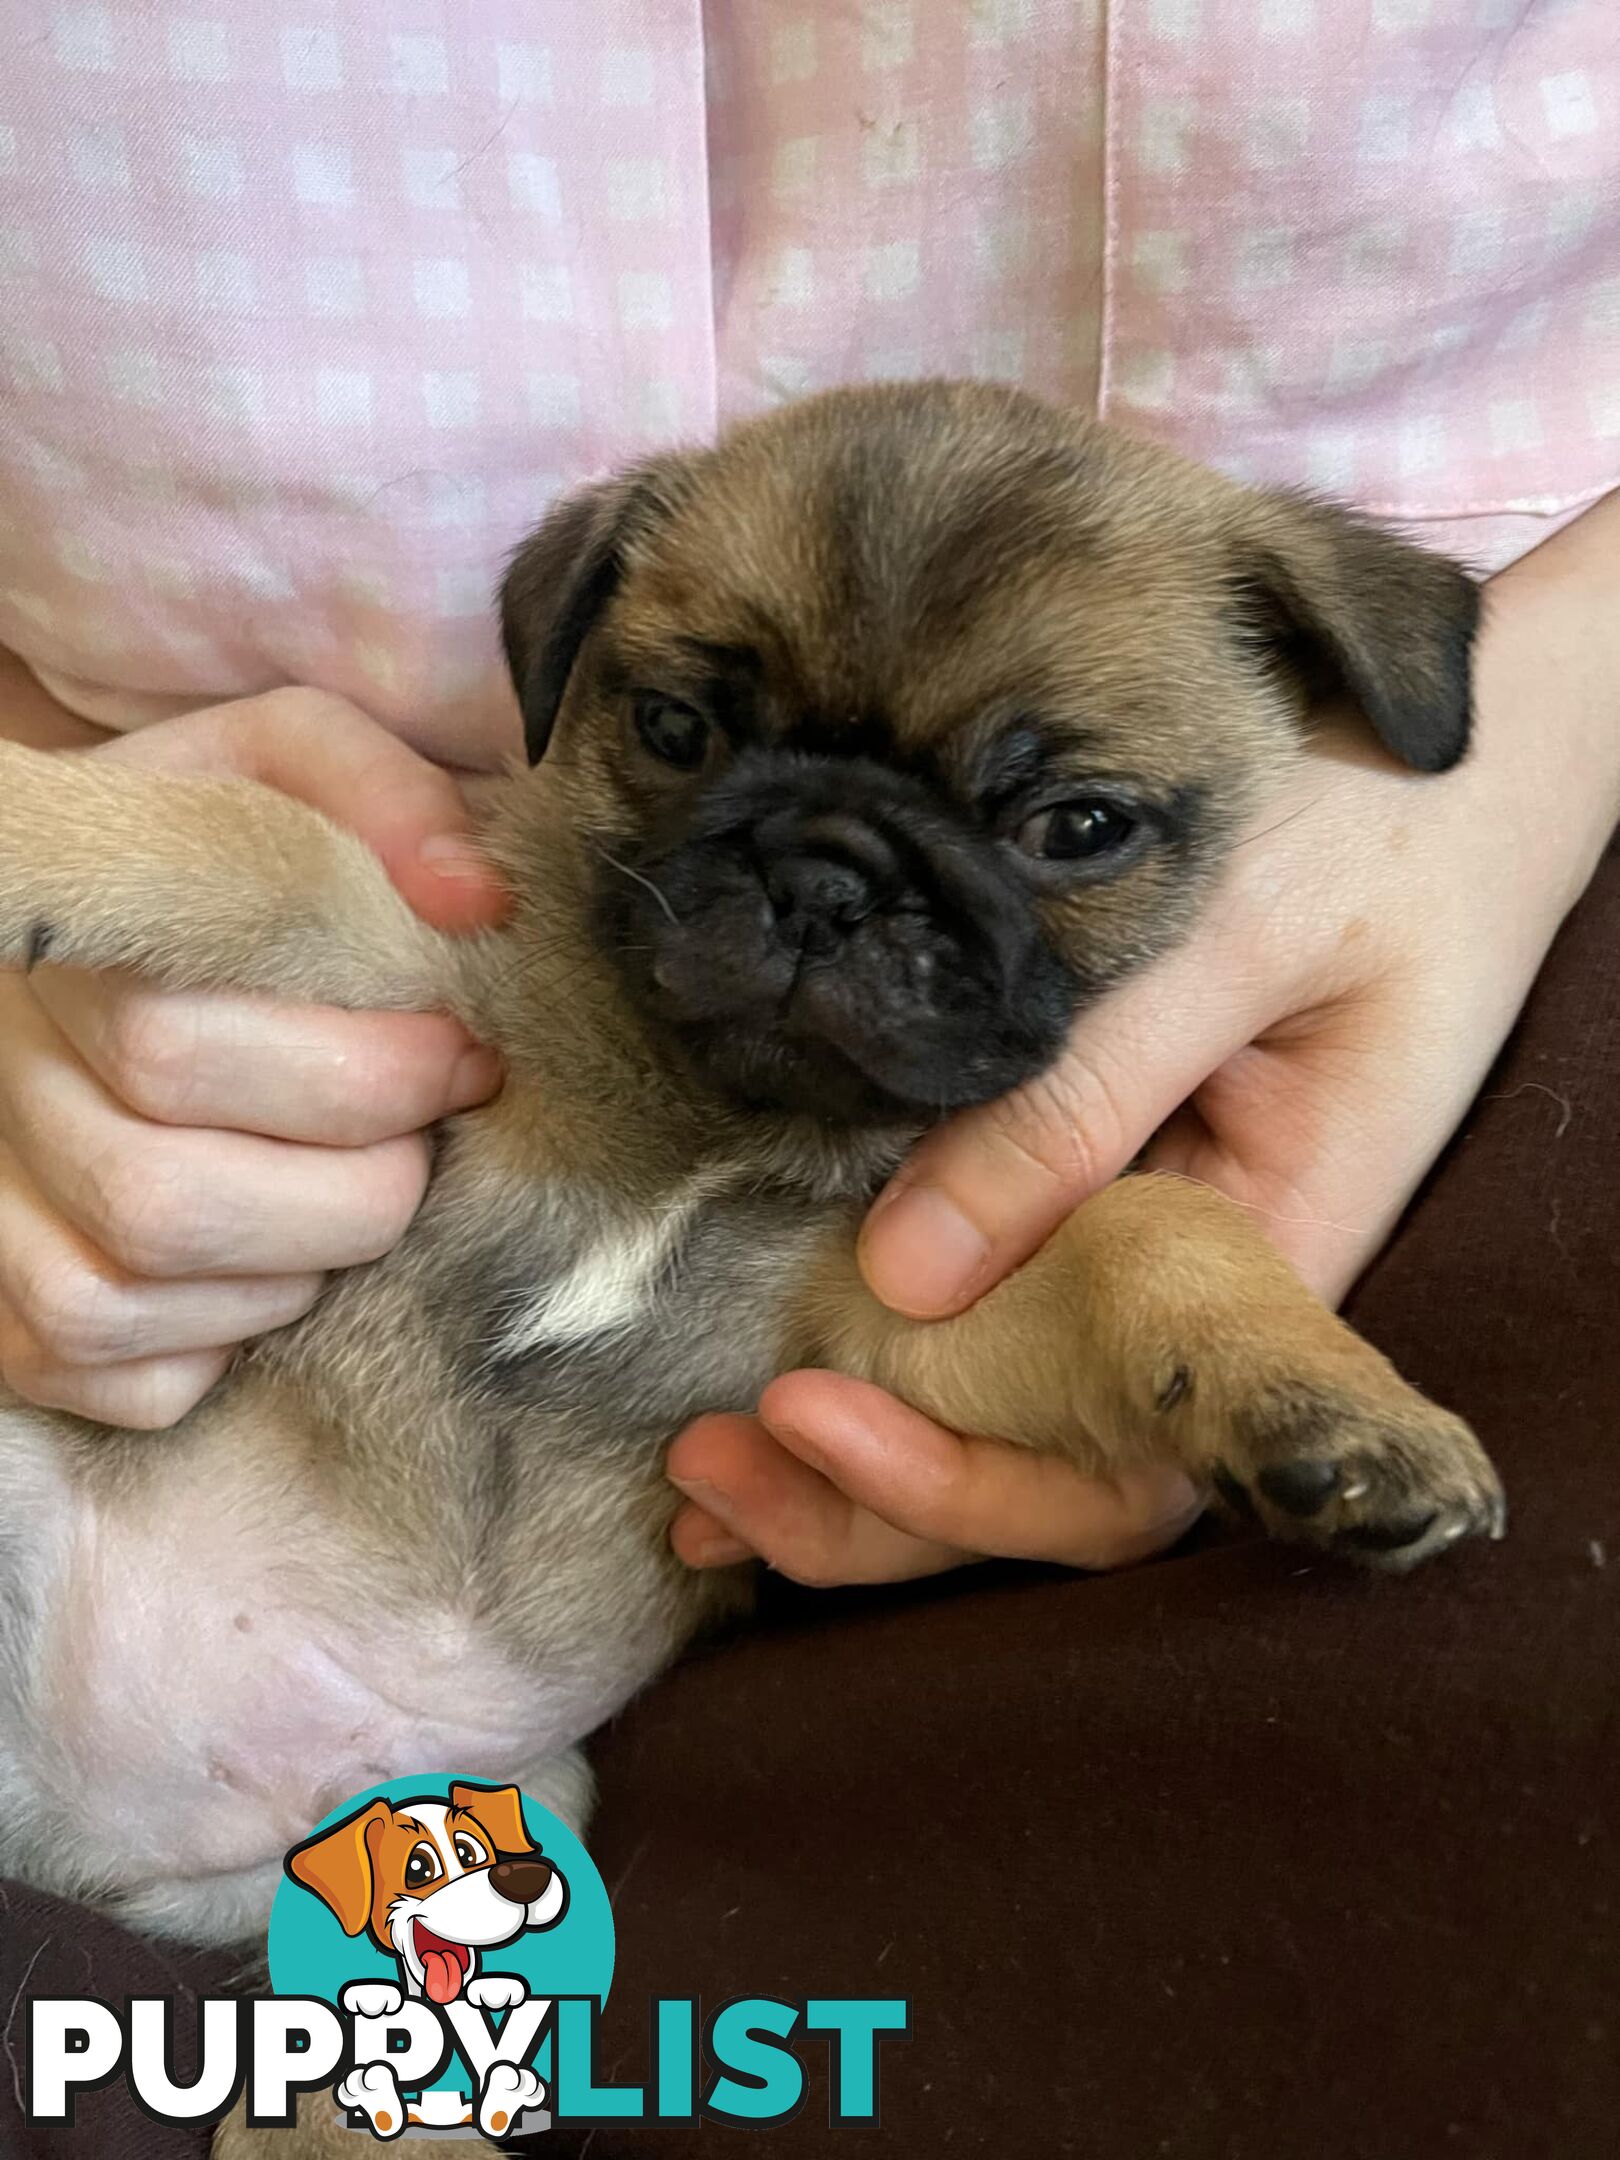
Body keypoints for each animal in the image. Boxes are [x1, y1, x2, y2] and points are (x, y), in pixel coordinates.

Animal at [0, 380, 1512, 2013]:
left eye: (1077, 828)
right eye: (675, 730)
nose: (826, 875)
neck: (713, 1125)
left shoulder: (883, 1325)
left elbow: (1146, 1225)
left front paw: (1319, 1397)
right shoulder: (412, 974)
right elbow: (264, 843)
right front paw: (33, 823)